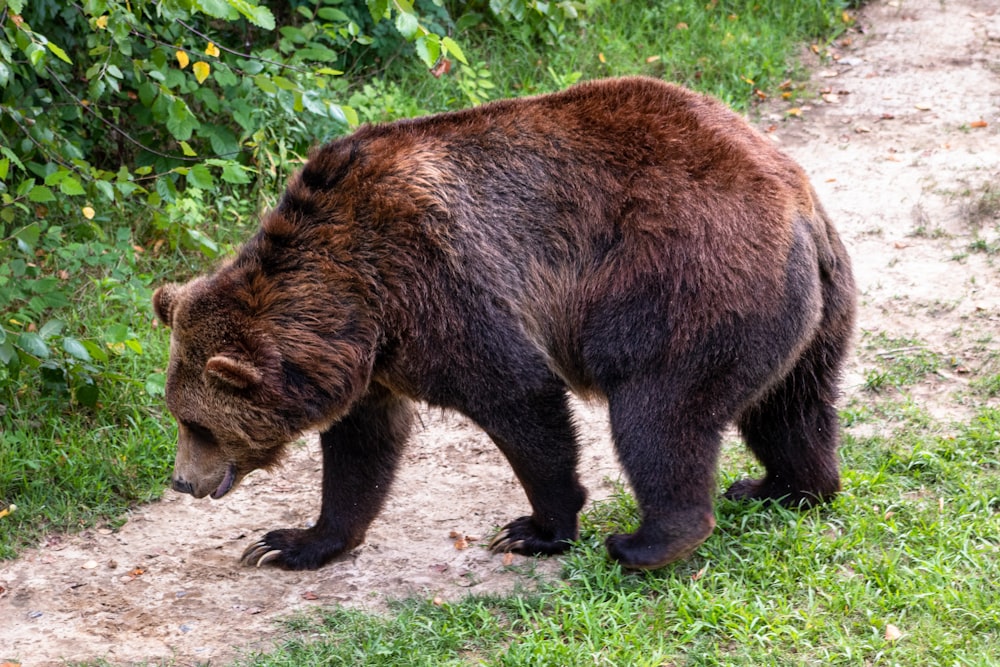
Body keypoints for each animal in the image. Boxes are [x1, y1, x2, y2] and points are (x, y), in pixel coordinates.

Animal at [152, 77, 856, 568]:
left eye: (198, 423)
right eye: (180, 417)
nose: (183, 481)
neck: (353, 299)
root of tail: (797, 203)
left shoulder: (438, 286)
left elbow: (519, 396)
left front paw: (537, 528)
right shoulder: (371, 358)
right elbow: (362, 448)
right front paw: (292, 542)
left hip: (686, 285)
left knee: (661, 413)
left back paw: (647, 541)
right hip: (810, 313)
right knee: (792, 407)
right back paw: (780, 486)